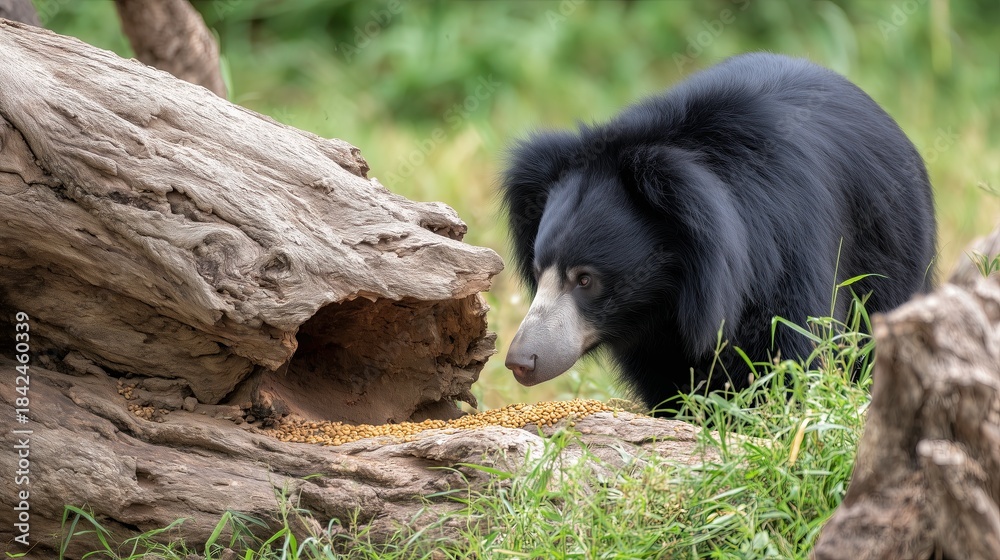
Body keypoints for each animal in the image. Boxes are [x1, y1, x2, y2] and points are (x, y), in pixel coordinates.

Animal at [499, 52, 937, 411]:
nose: (521, 362)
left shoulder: (787, 246)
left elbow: (790, 344)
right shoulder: (652, 329)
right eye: (538, 272)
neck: (672, 290)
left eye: (585, 279)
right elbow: (667, 378)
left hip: (894, 250)